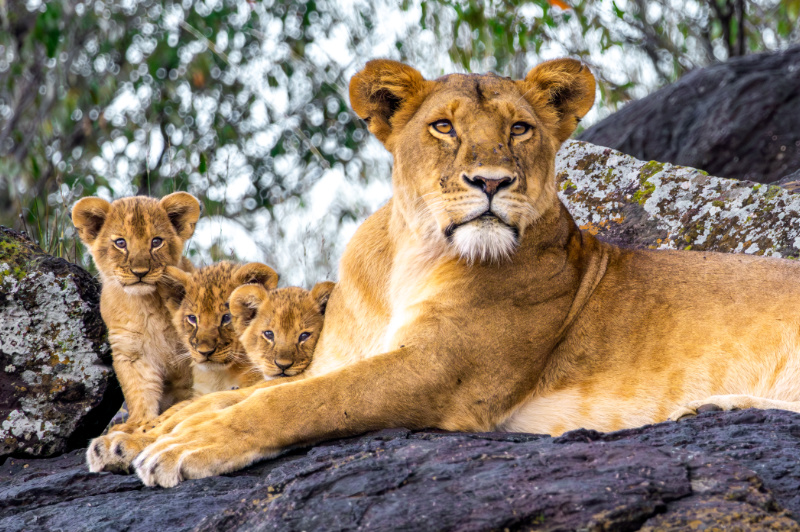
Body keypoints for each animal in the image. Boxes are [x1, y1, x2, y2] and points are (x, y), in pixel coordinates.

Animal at [71, 193, 200, 434]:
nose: (140, 272)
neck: (144, 305)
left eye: (156, 241)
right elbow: (139, 390)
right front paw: (139, 423)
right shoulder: (131, 351)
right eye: (121, 243)